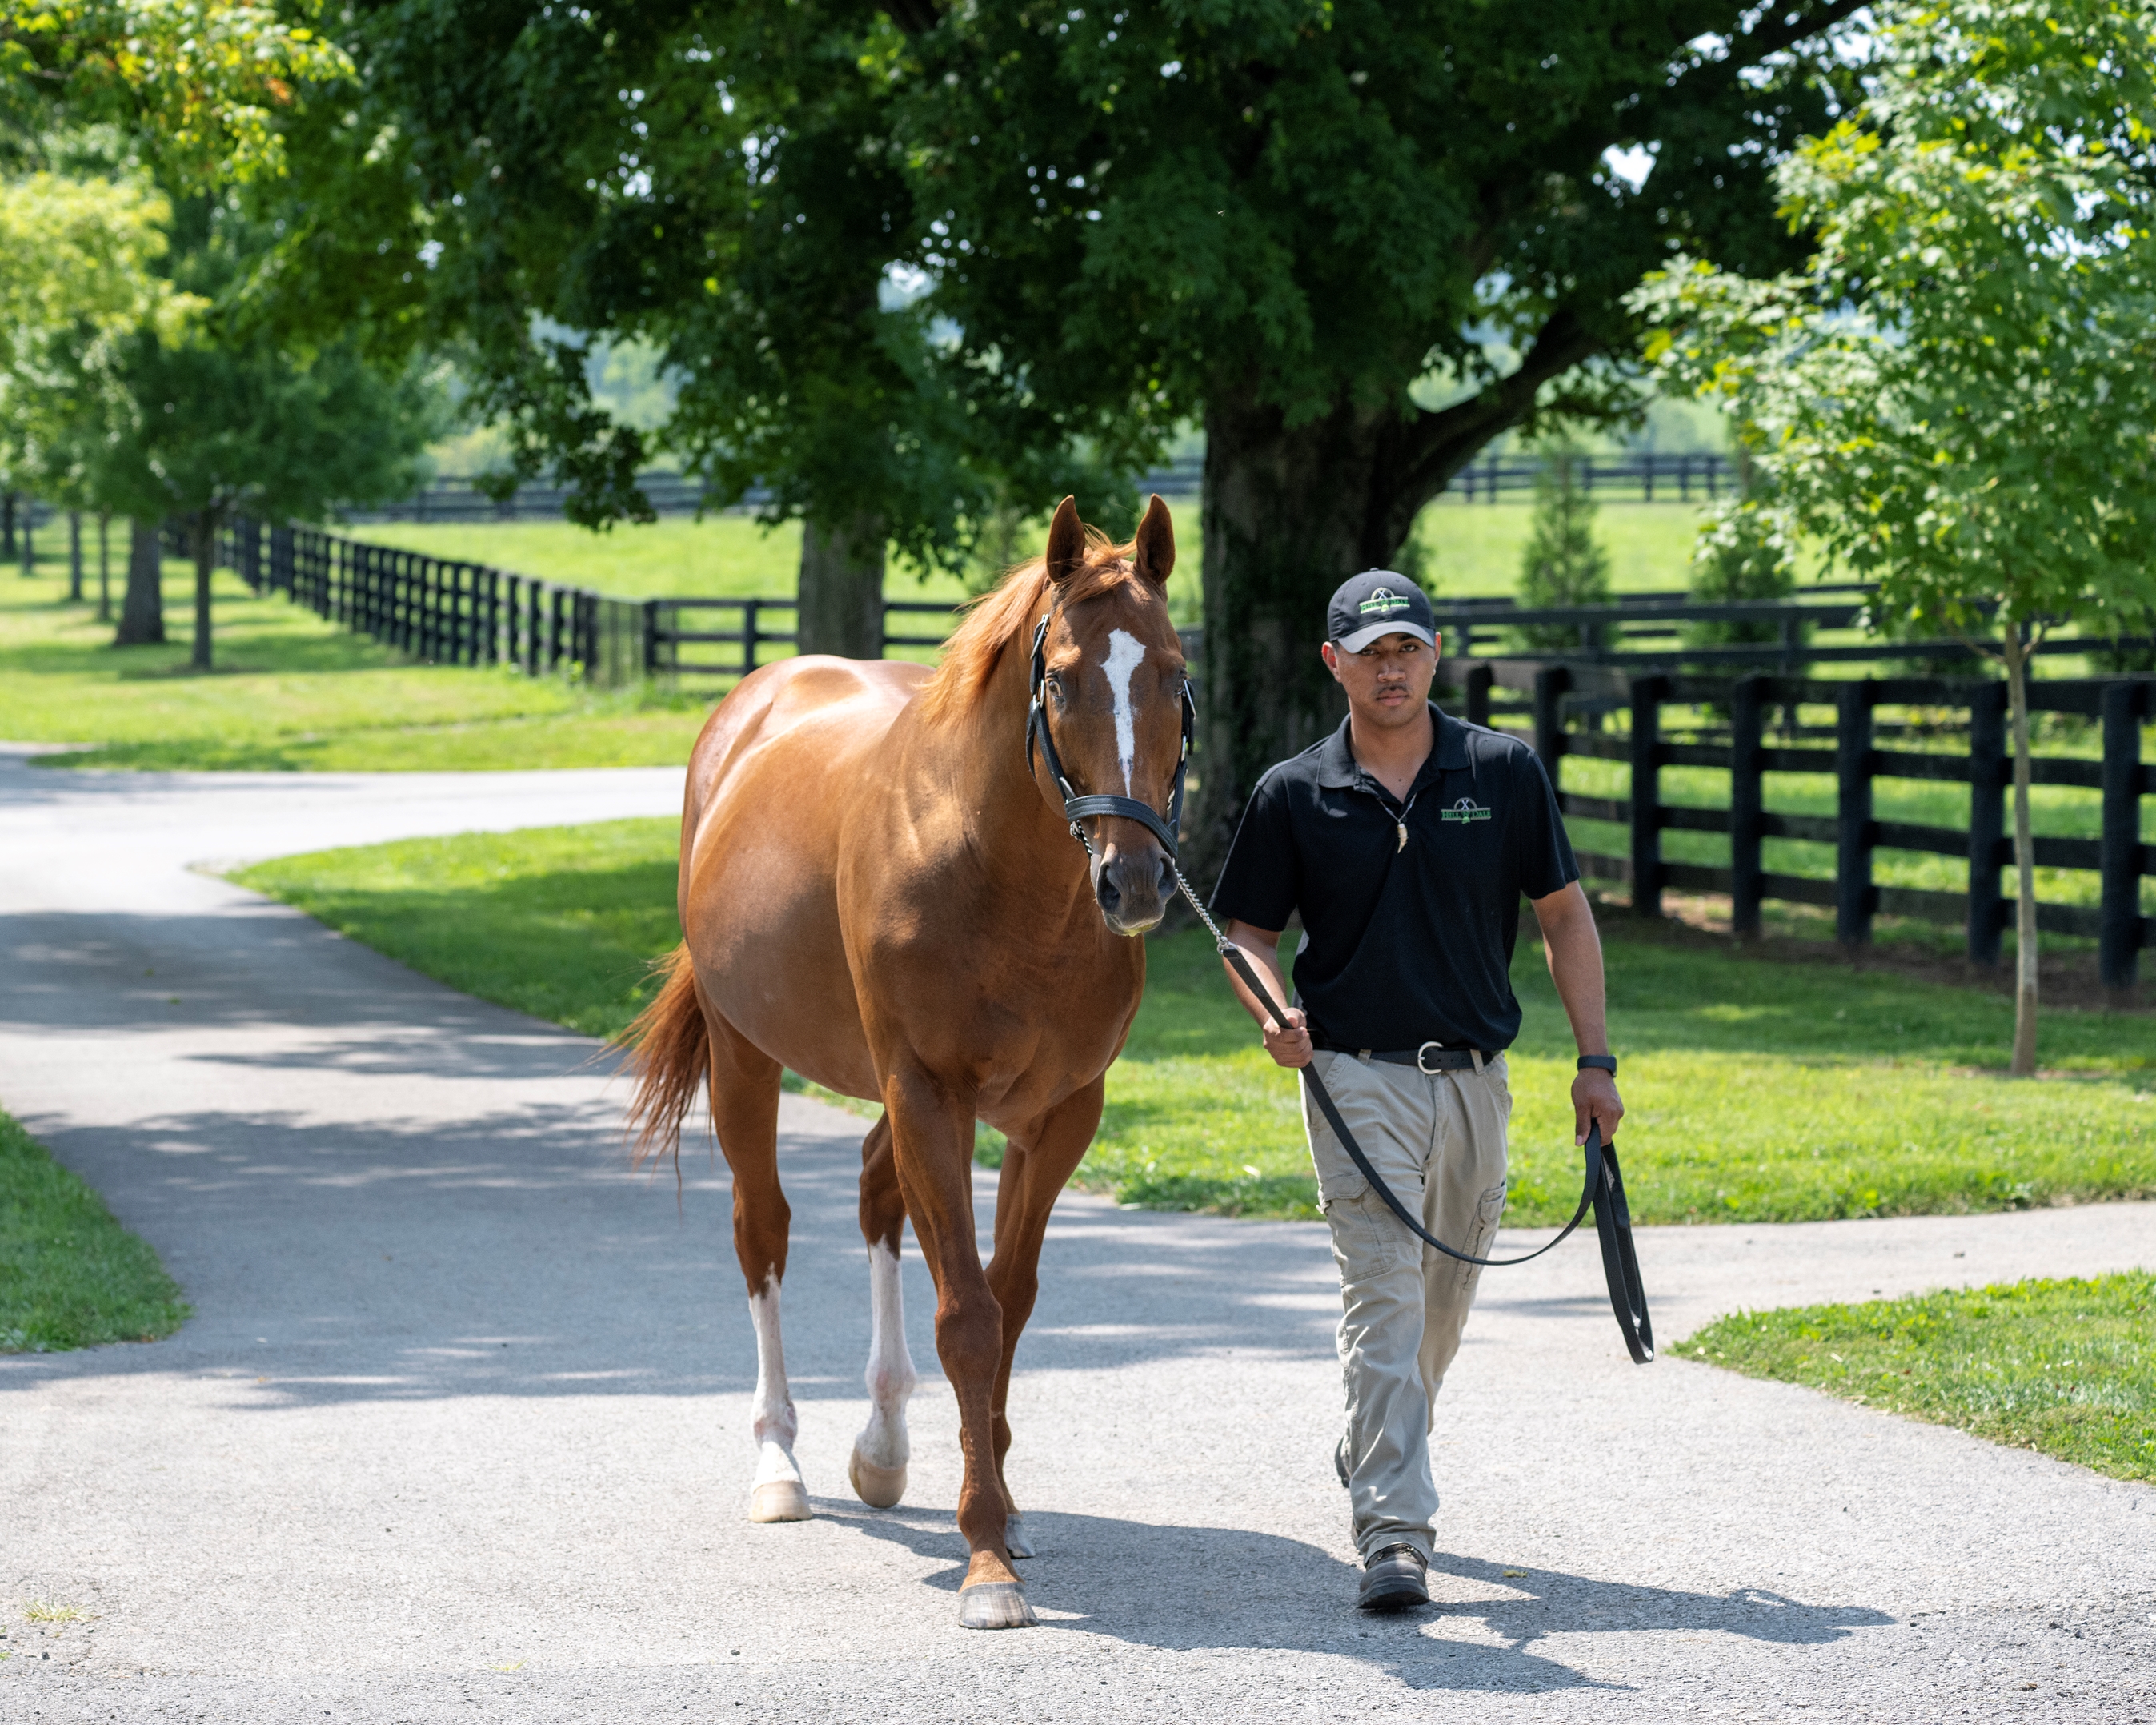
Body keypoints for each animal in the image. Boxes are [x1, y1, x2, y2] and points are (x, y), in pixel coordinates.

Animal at [625, 495, 1190, 1630]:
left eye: (1173, 670)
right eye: (1060, 679)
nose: (1138, 882)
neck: (998, 877)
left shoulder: (1058, 1115)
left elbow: (1009, 1303)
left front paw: (1004, 1509)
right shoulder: (932, 1095)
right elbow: (967, 1314)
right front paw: (987, 1565)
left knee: (877, 1199)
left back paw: (882, 1448)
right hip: (751, 1061)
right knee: (764, 1232)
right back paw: (780, 1466)